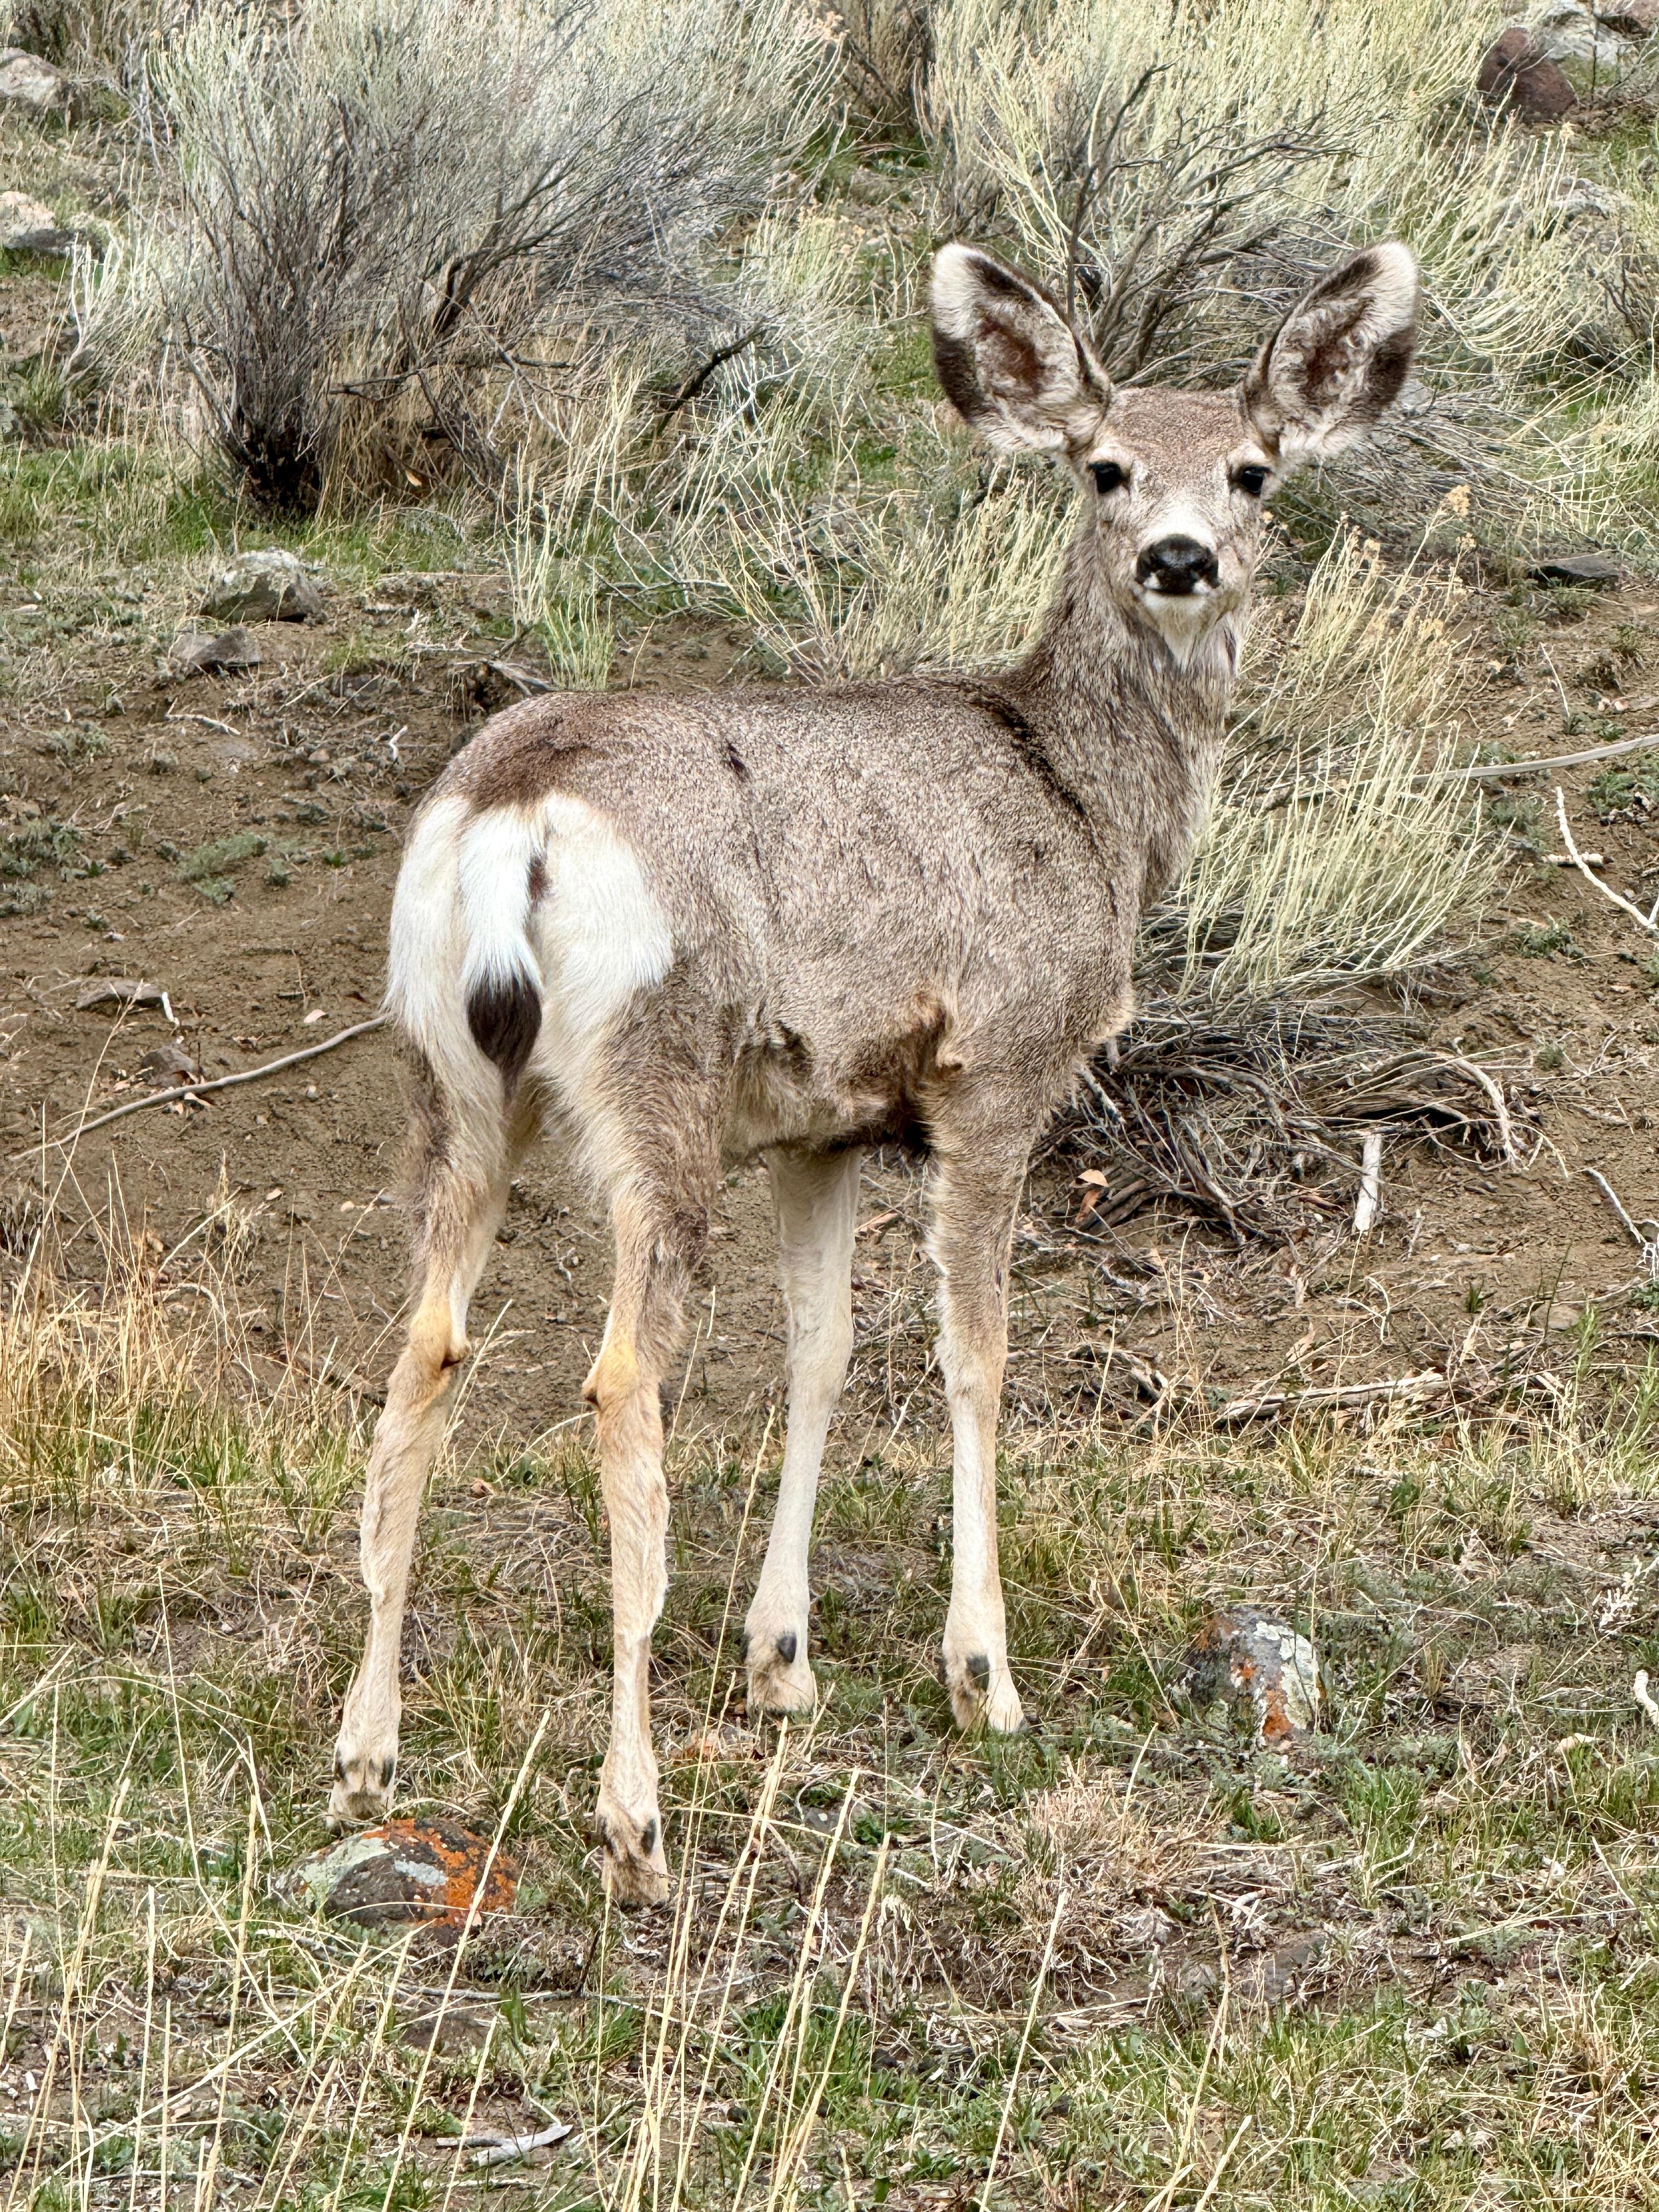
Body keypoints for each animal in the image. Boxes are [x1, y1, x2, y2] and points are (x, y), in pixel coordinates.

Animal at [328, 236, 1420, 1905]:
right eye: (1104, 468)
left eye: (1251, 468)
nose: (1180, 558)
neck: (1082, 801)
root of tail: (515, 811)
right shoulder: (996, 1072)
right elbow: (975, 1358)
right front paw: (985, 1677)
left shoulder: (823, 1123)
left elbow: (821, 1353)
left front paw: (783, 1660)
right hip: (655, 1076)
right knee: (619, 1379)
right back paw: (634, 1818)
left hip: (450, 1077)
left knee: (424, 1352)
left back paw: (366, 1751)